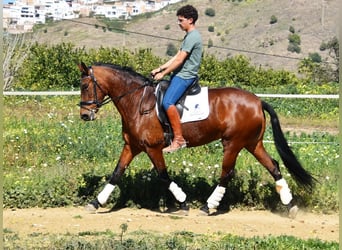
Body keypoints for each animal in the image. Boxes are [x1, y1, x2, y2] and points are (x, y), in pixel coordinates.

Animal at [78, 61, 316, 218]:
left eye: (85, 86)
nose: (84, 115)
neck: (136, 102)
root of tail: (257, 101)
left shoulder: (153, 148)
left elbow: (163, 176)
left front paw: (183, 203)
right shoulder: (132, 146)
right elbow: (116, 173)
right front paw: (95, 202)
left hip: (233, 143)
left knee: (226, 173)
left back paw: (208, 206)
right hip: (252, 143)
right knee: (273, 166)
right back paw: (290, 205)